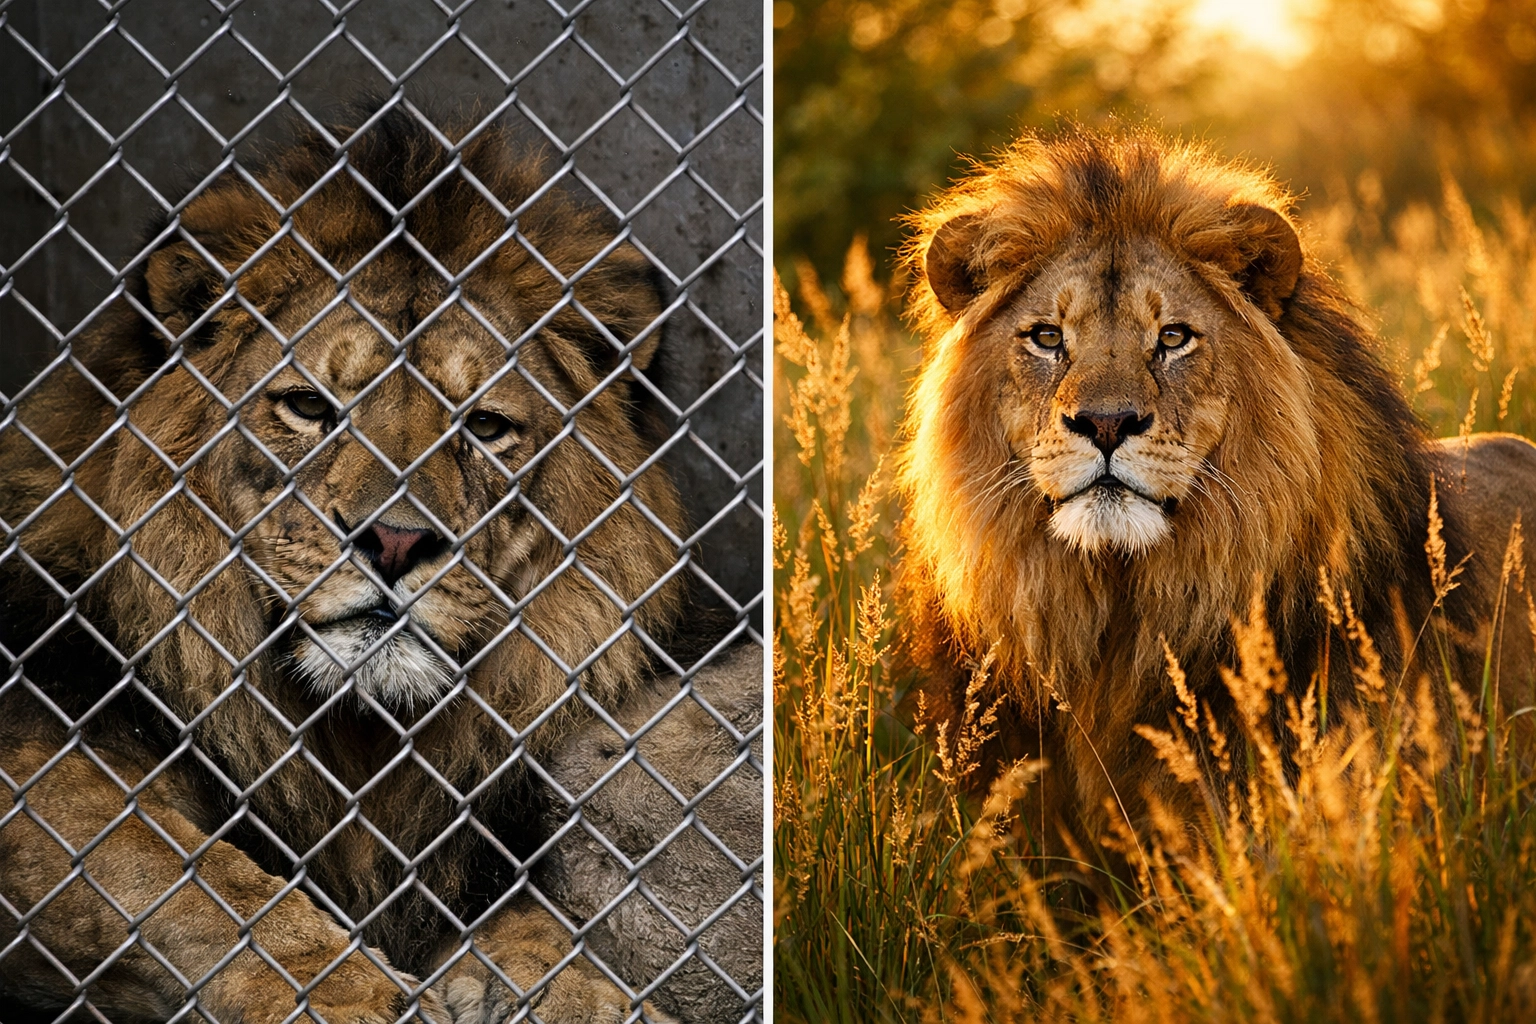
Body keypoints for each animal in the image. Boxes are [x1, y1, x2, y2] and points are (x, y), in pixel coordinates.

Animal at [0, 104, 750, 1022]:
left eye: (484, 427)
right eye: (309, 407)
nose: (393, 541)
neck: (360, 737)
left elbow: (547, 912)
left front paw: (568, 989)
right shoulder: (43, 736)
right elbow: (177, 878)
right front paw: (339, 989)